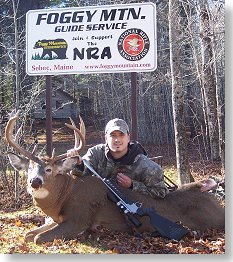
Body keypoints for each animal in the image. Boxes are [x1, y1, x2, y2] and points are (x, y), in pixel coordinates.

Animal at [4, 110, 225, 244]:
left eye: (49, 169)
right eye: (29, 168)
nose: (35, 181)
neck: (64, 197)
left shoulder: (80, 217)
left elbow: (36, 238)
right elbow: (29, 234)